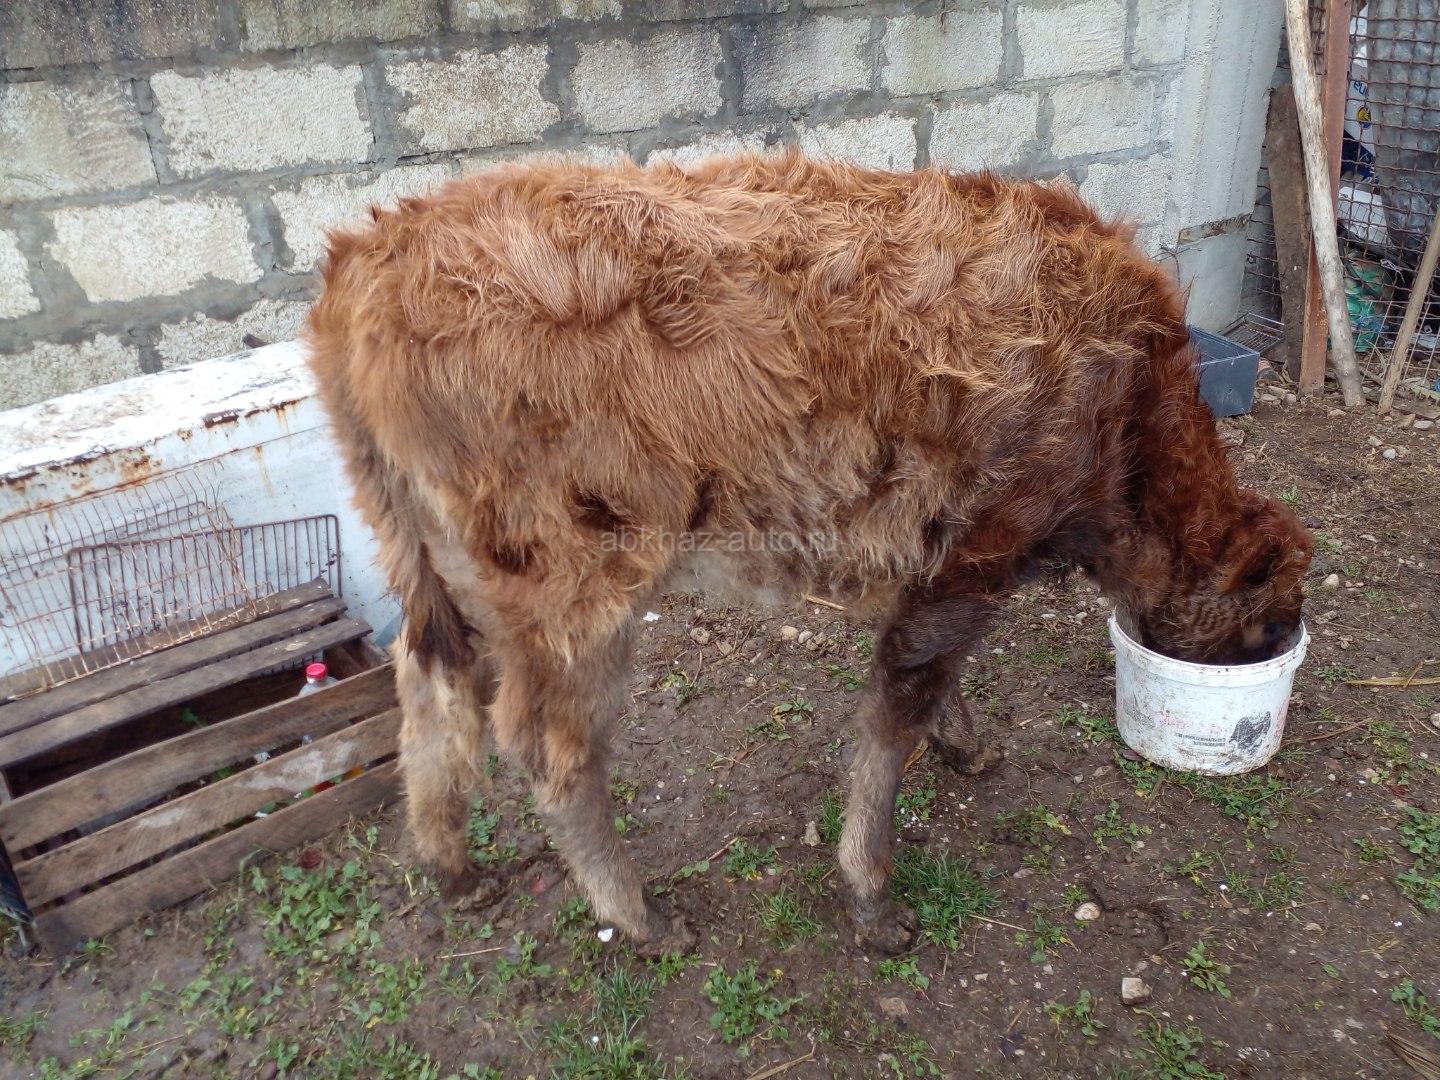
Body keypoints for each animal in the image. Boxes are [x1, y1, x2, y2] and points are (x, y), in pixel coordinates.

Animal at [307, 151, 1312, 952]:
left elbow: (930, 688)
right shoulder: (976, 554)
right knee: (550, 752)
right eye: (1271, 623)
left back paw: (454, 871)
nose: (1272, 652)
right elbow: (894, 715)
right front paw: (872, 896)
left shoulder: (930, 562)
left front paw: (966, 745)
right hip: (569, 580)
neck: (1132, 420)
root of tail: (368, 261)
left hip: (426, 555)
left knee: (429, 687)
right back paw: (639, 915)